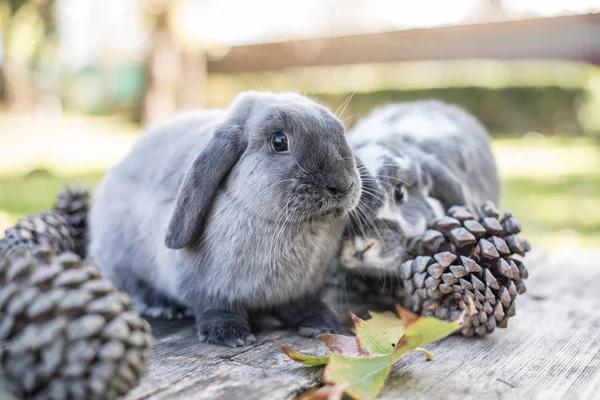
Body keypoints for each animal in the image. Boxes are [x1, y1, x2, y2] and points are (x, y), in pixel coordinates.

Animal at [88, 91, 376, 346]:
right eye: (279, 141)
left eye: (340, 134)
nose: (342, 185)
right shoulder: (209, 289)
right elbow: (215, 308)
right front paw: (230, 335)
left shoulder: (302, 291)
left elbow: (304, 305)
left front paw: (322, 324)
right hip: (121, 262)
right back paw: (164, 307)